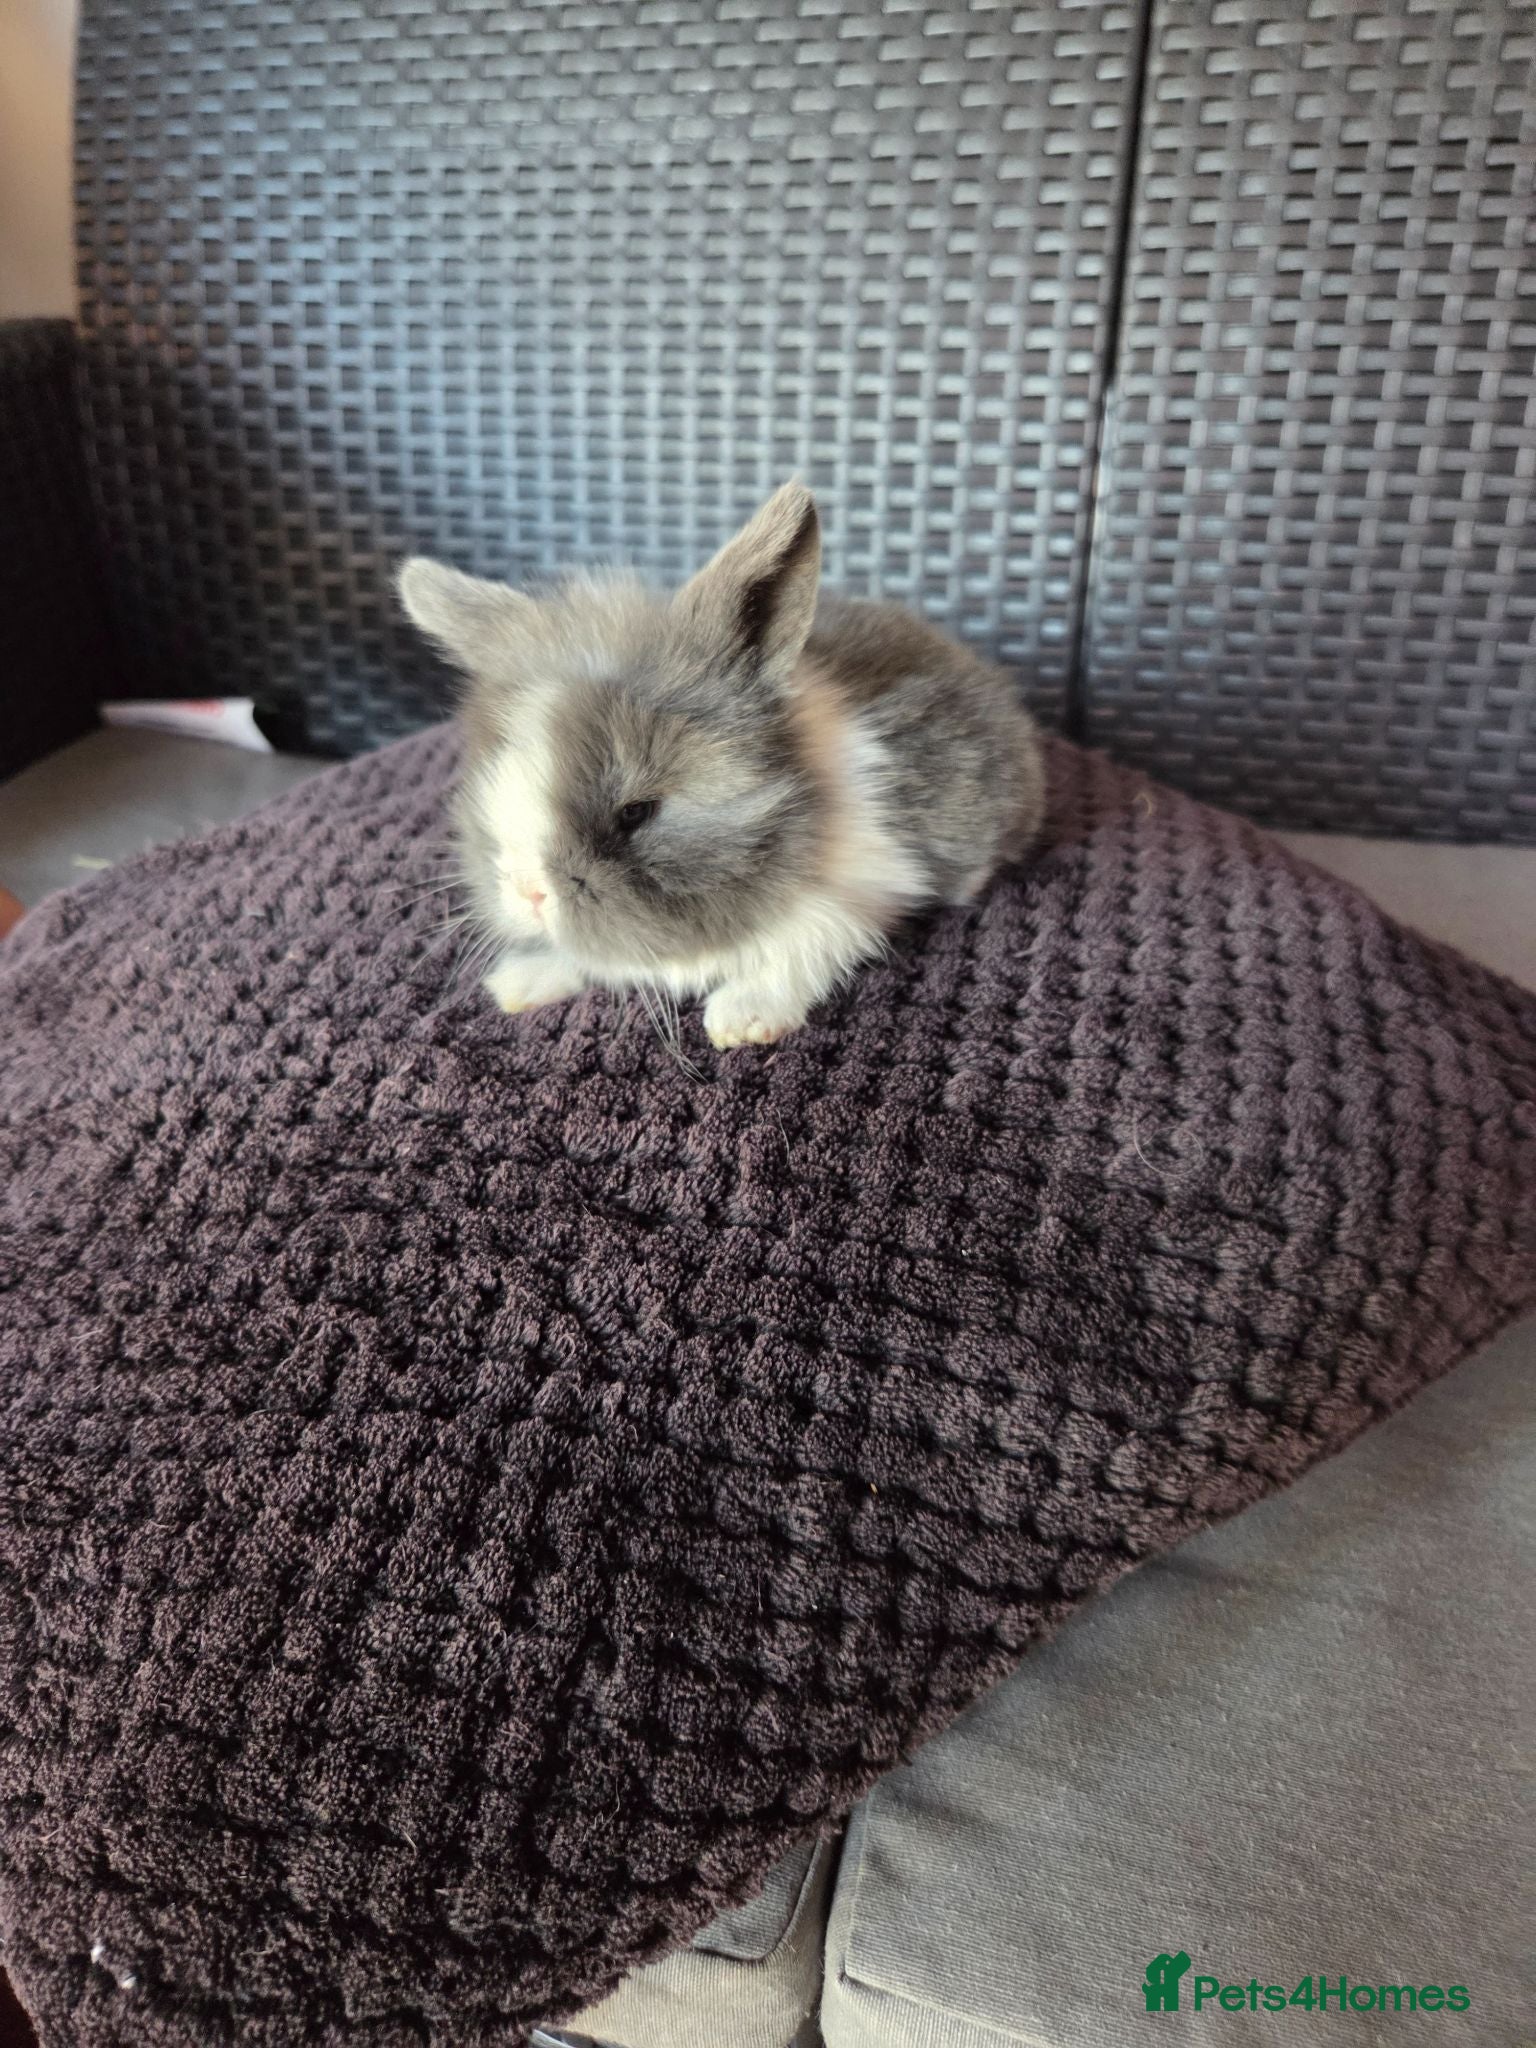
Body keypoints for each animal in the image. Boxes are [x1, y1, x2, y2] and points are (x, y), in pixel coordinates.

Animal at [398, 482, 1045, 1049]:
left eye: (636, 812)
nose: (528, 892)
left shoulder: (859, 899)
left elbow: (802, 952)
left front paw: (742, 1019)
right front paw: (519, 982)